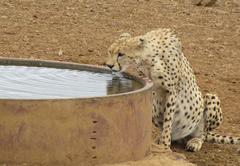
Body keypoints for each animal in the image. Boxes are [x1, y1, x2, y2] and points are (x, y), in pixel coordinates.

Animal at [106, 28, 240, 152]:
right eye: (109, 51)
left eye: (121, 54)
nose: (109, 65)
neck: (148, 58)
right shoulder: (151, 86)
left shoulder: (171, 91)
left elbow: (168, 120)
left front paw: (165, 145)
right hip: (156, 106)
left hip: (211, 99)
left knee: (204, 132)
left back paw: (195, 141)